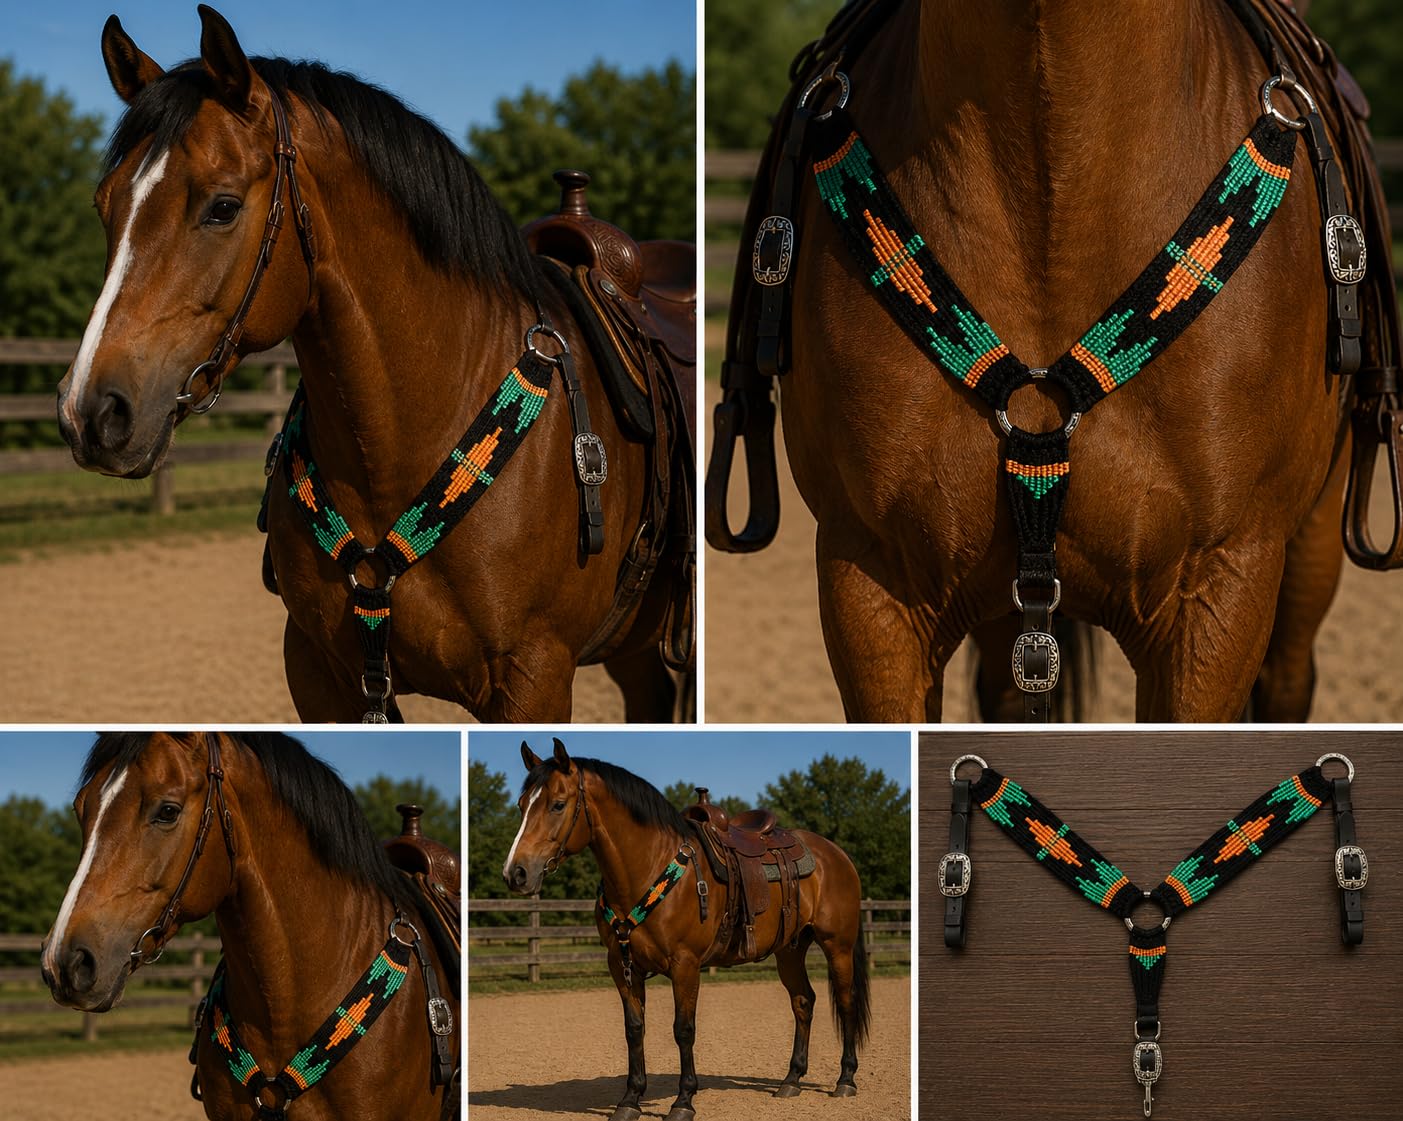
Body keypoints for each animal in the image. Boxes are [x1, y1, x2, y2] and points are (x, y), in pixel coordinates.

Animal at [501, 739, 872, 1121]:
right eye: (521, 805)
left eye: (558, 804)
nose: (516, 873)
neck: (648, 867)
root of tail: (836, 855)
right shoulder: (622, 965)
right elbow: (634, 1029)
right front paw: (630, 1099)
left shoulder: (685, 965)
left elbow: (683, 1030)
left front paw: (683, 1100)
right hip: (790, 950)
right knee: (803, 1001)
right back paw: (792, 1080)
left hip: (838, 946)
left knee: (846, 1001)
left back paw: (846, 1079)